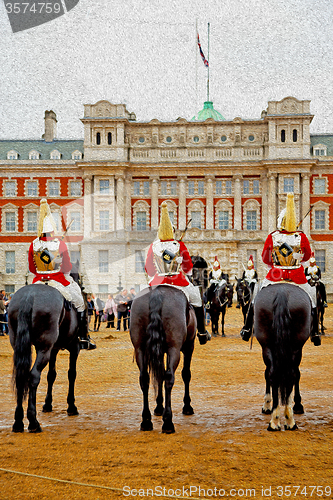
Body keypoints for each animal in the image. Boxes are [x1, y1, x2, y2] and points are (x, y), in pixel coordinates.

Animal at [8, 268, 81, 432]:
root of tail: (29, 295)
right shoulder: (74, 347)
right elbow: (71, 374)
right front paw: (71, 406)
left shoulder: (54, 349)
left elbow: (51, 375)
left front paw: (48, 404)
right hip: (44, 349)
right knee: (33, 376)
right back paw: (33, 422)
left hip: (23, 346)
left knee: (21, 376)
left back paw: (18, 422)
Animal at [129, 286, 197, 434]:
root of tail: (157, 293)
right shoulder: (189, 347)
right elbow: (186, 374)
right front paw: (187, 406)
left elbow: (159, 376)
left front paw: (159, 406)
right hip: (174, 349)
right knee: (170, 378)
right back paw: (168, 422)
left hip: (140, 349)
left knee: (144, 379)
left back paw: (146, 420)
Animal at [254, 284, 312, 432]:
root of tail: (282, 291)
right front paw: (297, 404)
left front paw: (268, 404)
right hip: (294, 347)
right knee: (289, 374)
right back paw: (287, 419)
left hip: (269, 346)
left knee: (274, 374)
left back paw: (276, 421)